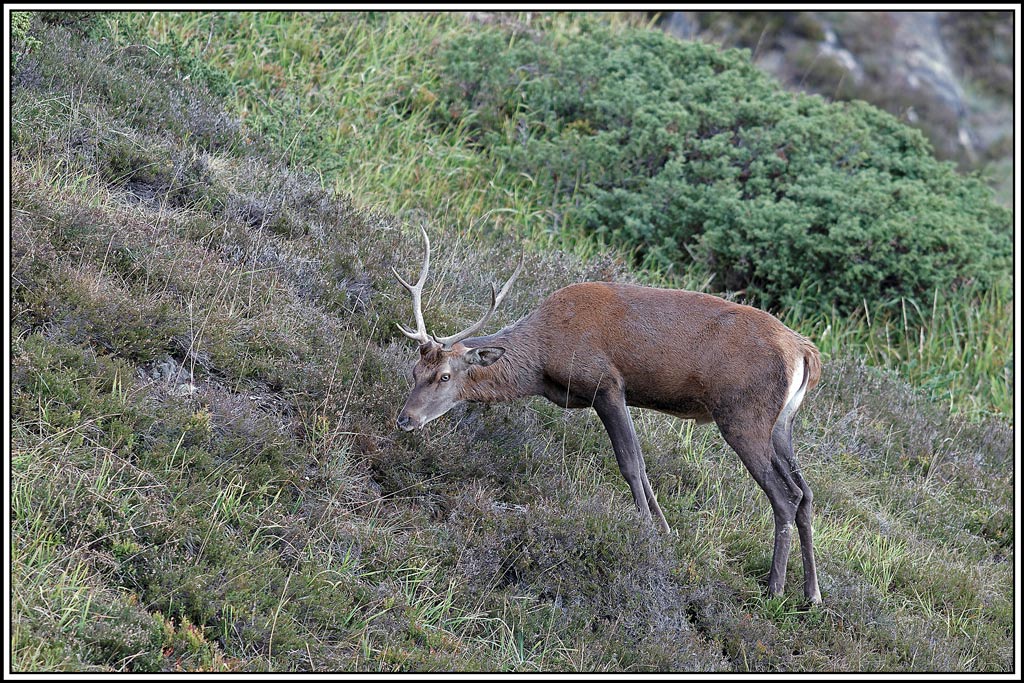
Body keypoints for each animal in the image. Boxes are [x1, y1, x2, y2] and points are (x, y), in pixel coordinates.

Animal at [392, 227, 823, 604]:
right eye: (414, 371)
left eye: (444, 375)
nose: (405, 419)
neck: (544, 359)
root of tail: (804, 351)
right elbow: (644, 466)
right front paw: (665, 529)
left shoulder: (606, 383)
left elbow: (630, 462)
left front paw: (646, 532)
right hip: (781, 425)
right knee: (805, 493)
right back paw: (812, 594)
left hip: (743, 416)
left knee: (784, 497)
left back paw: (775, 589)